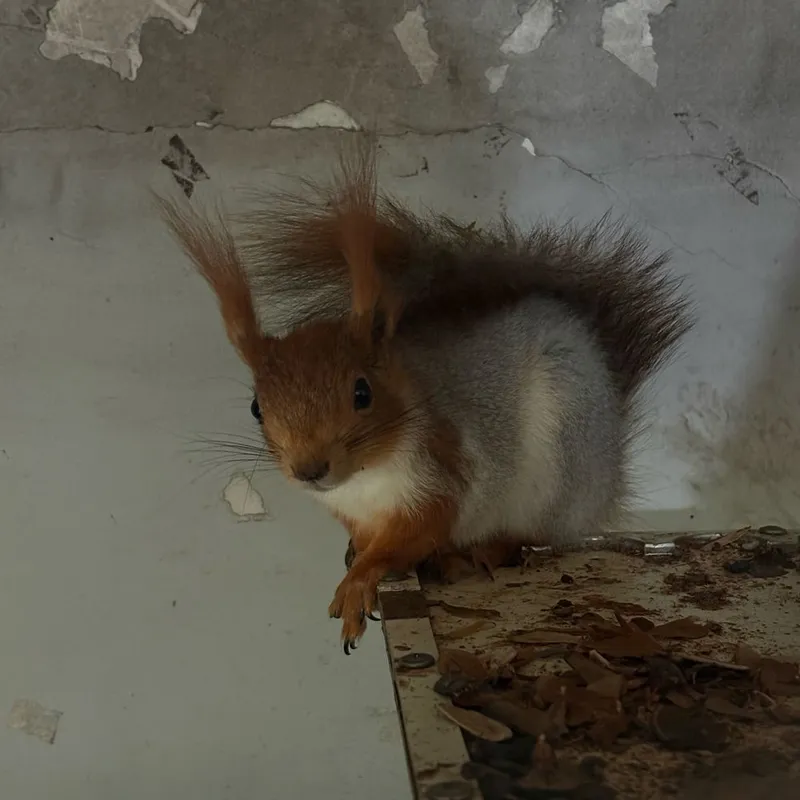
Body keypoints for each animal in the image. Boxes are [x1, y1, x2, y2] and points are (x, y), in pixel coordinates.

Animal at [158, 138, 692, 654]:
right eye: (256, 407)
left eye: (362, 392)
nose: (309, 470)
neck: (363, 481)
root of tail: (611, 462)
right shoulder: (352, 511)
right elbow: (368, 537)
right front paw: (356, 556)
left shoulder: (440, 477)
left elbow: (412, 536)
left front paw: (361, 579)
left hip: (563, 461)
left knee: (536, 534)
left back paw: (488, 549)